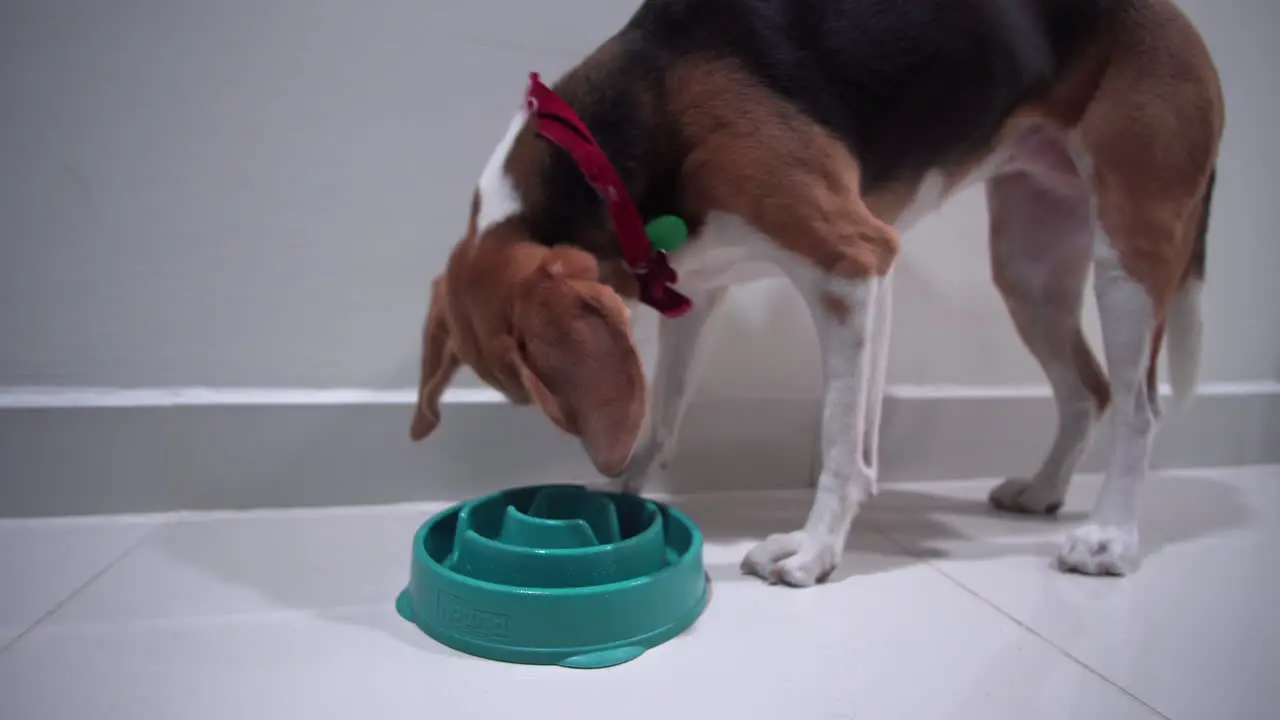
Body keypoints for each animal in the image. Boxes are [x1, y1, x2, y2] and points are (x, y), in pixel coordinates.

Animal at [407, 0, 1218, 584]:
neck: (609, 148)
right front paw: (625, 500)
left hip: (1131, 252)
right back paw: (1045, 489)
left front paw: (813, 549)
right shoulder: (697, 296)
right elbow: (663, 422)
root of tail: (1179, 18)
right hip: (1031, 267)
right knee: (1088, 389)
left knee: (1139, 408)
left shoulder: (850, 264)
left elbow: (838, 441)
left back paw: (1109, 538)